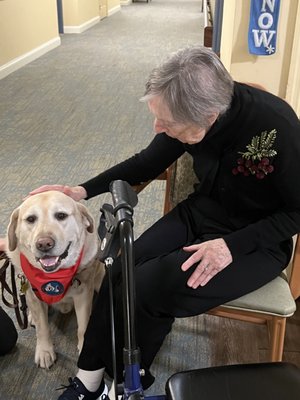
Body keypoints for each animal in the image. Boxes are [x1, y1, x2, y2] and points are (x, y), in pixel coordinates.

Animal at [5, 191, 105, 368]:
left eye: (61, 215)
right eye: (31, 219)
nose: (44, 244)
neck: (54, 277)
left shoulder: (83, 294)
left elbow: (83, 325)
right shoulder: (34, 295)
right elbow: (42, 328)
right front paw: (45, 351)